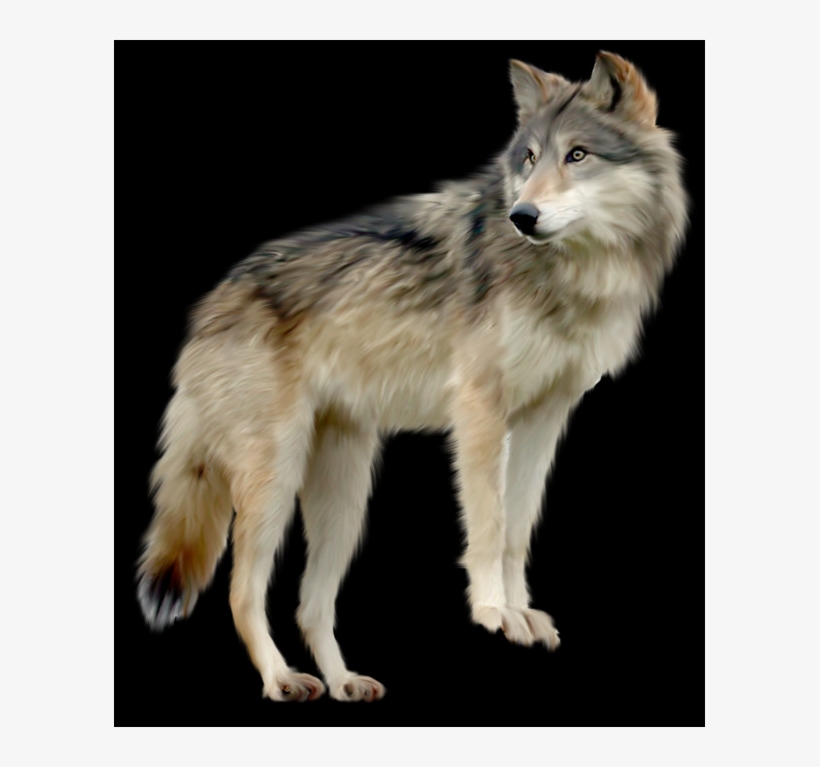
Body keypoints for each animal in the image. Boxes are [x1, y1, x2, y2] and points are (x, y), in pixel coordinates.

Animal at [136, 52, 688, 703]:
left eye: (577, 155)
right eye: (529, 158)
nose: (522, 216)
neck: (574, 273)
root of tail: (209, 307)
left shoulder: (542, 417)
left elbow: (516, 529)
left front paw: (521, 613)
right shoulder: (479, 408)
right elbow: (487, 524)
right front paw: (494, 613)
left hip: (345, 498)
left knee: (310, 605)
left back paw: (344, 681)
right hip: (274, 479)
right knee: (241, 592)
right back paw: (281, 679)